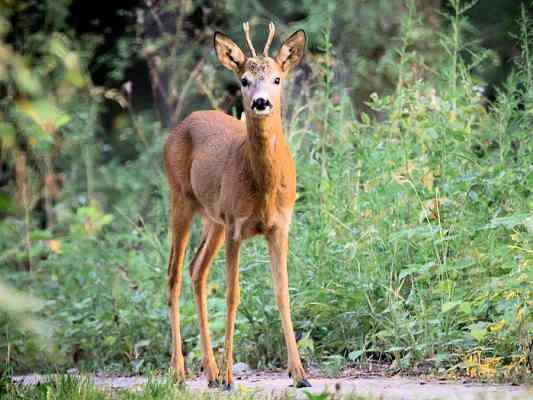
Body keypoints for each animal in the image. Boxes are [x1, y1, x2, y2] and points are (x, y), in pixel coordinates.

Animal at [164, 20, 310, 390]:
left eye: (277, 79)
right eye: (244, 79)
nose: (260, 102)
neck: (264, 189)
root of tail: (181, 124)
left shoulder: (280, 226)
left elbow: (283, 292)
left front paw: (300, 374)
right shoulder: (236, 225)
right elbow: (232, 296)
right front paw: (232, 377)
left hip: (212, 219)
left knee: (196, 270)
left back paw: (211, 372)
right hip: (181, 198)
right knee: (174, 274)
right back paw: (180, 371)